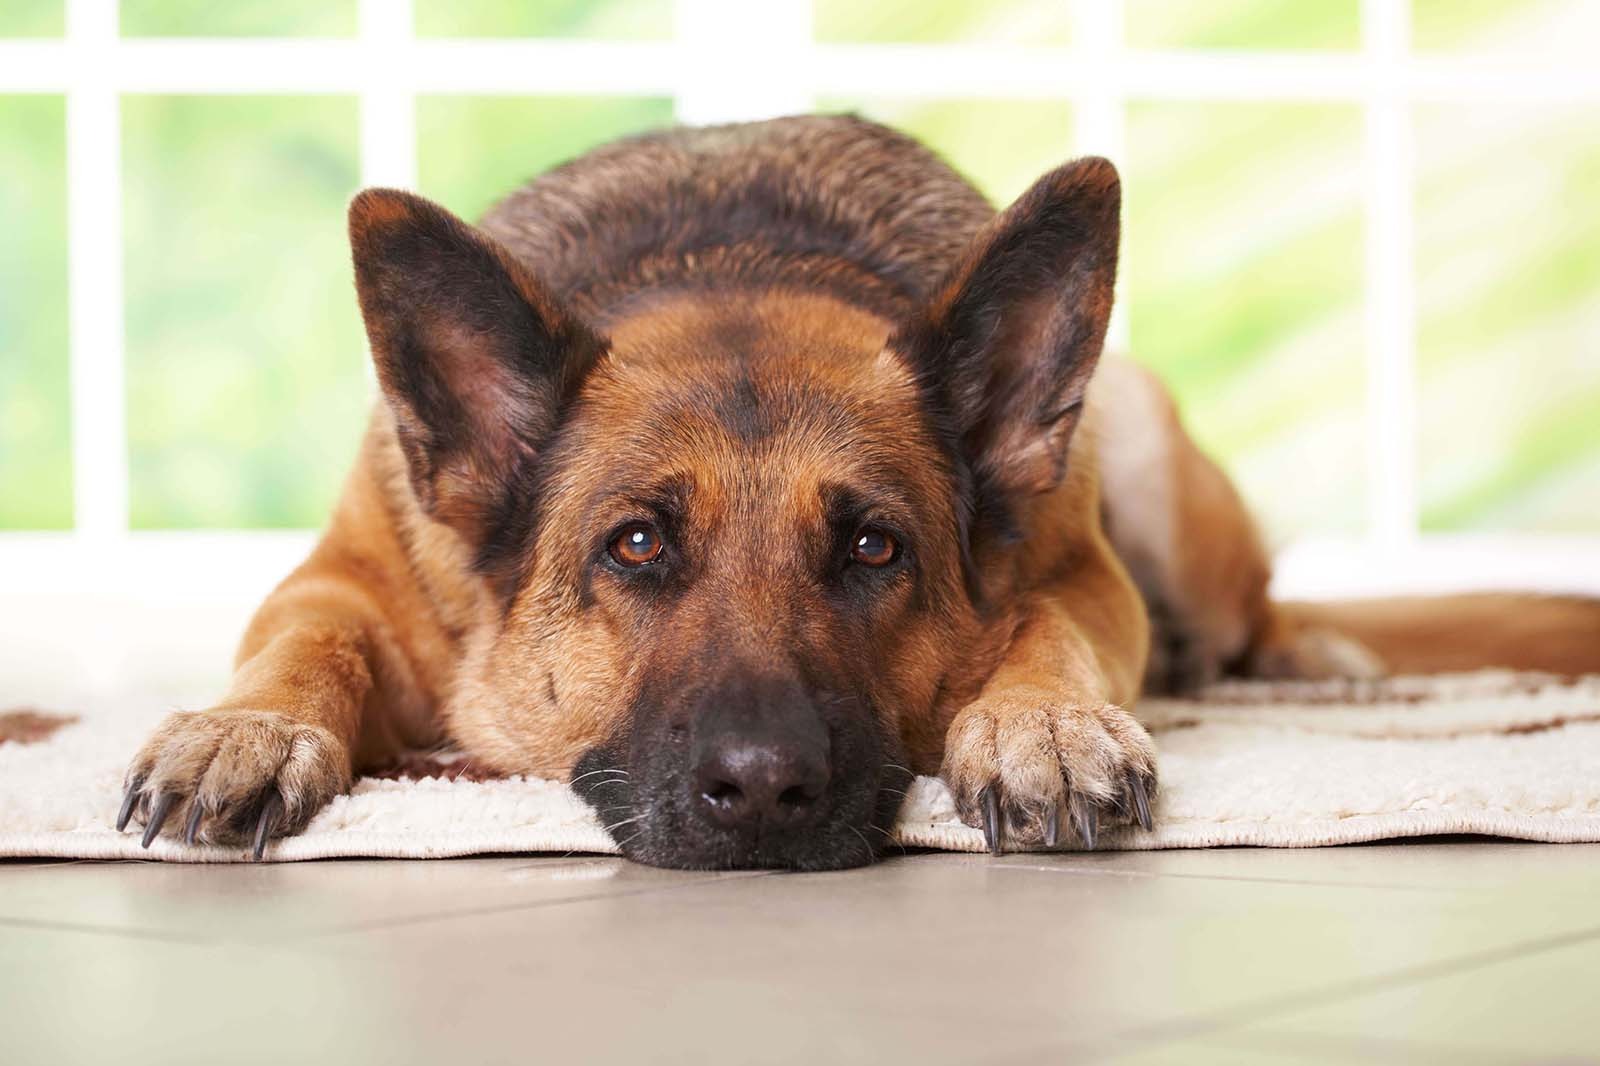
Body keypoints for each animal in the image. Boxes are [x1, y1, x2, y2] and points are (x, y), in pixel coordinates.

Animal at [116, 116, 1600, 870]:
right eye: (636, 544)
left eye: (876, 550)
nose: (765, 791)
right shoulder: (341, 573)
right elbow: (307, 639)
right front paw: (247, 728)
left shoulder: (1082, 574)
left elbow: (1049, 633)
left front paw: (1039, 722)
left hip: (1133, 425)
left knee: (1257, 617)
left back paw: (1316, 659)